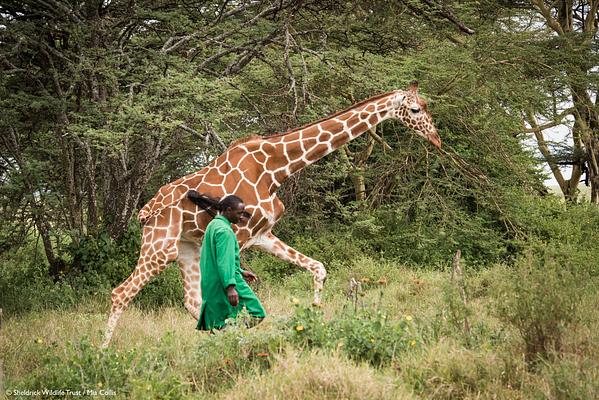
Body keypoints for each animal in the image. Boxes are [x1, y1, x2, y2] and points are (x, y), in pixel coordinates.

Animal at [102, 82, 440, 346]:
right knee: (121, 293)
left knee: (192, 300)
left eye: (425, 106)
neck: (276, 169)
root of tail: (144, 212)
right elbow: (238, 293)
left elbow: (318, 268)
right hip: (159, 247)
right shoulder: (239, 235)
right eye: (414, 110)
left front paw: (313, 319)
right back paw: (103, 352)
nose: (436, 139)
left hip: (186, 248)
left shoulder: (263, 234)